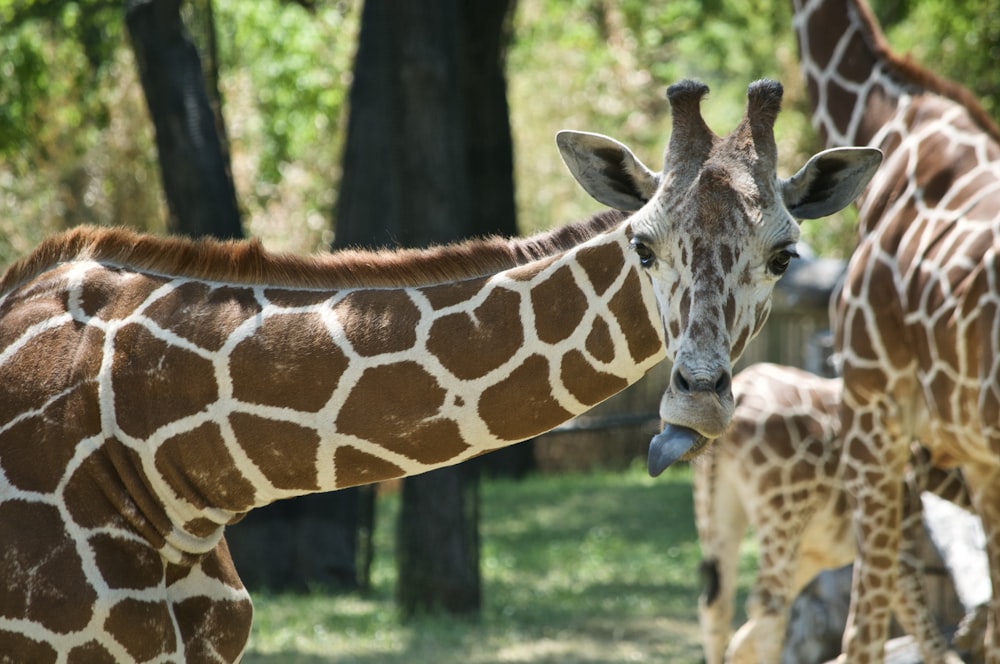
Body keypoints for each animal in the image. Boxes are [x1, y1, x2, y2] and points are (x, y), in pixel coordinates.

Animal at [692, 364, 964, 664]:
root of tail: (742, 393)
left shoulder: (815, 555)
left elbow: (743, 640)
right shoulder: (898, 534)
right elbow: (924, 637)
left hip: (716, 504)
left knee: (720, 605)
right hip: (782, 512)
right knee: (768, 606)